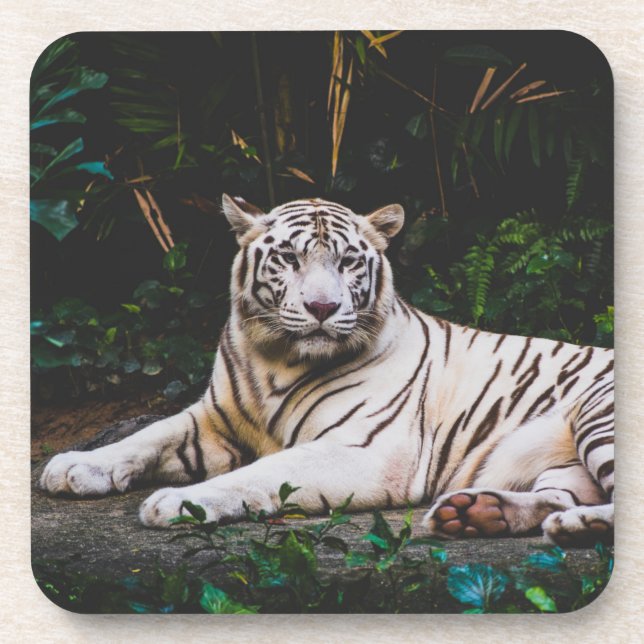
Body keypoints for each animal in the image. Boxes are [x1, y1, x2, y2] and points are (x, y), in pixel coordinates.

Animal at [40, 195, 614, 546]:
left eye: (347, 263)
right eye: (289, 259)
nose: (322, 307)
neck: (276, 359)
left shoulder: (366, 450)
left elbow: (261, 474)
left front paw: (179, 503)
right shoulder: (214, 419)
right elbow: (147, 436)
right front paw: (73, 466)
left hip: (597, 415)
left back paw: (578, 525)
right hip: (562, 464)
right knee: (555, 495)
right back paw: (479, 515)